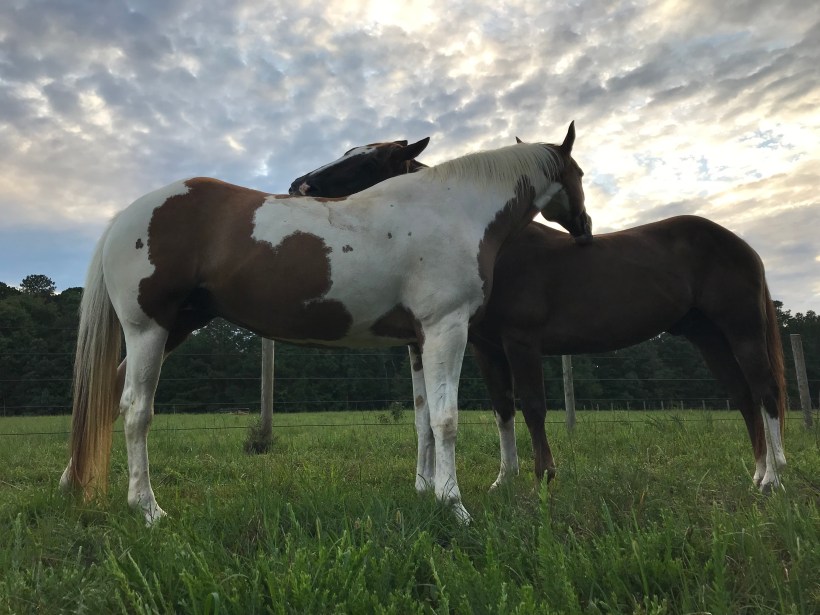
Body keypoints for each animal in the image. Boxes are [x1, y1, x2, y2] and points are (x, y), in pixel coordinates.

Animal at [60, 123, 592, 525]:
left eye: (366, 160)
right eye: (580, 173)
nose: (585, 229)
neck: (452, 209)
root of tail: (127, 214)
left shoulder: (418, 340)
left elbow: (422, 418)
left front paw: (425, 492)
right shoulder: (447, 329)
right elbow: (446, 419)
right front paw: (454, 506)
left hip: (172, 328)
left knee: (107, 396)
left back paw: (74, 482)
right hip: (148, 330)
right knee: (135, 410)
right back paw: (148, 509)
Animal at [290, 137, 787, 494]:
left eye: (369, 162)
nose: (299, 186)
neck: (498, 245)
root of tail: (738, 242)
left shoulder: (521, 342)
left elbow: (532, 406)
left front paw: (544, 476)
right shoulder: (487, 349)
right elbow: (502, 409)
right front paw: (503, 480)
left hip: (741, 329)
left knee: (764, 392)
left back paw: (773, 478)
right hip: (708, 337)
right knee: (744, 397)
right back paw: (757, 476)